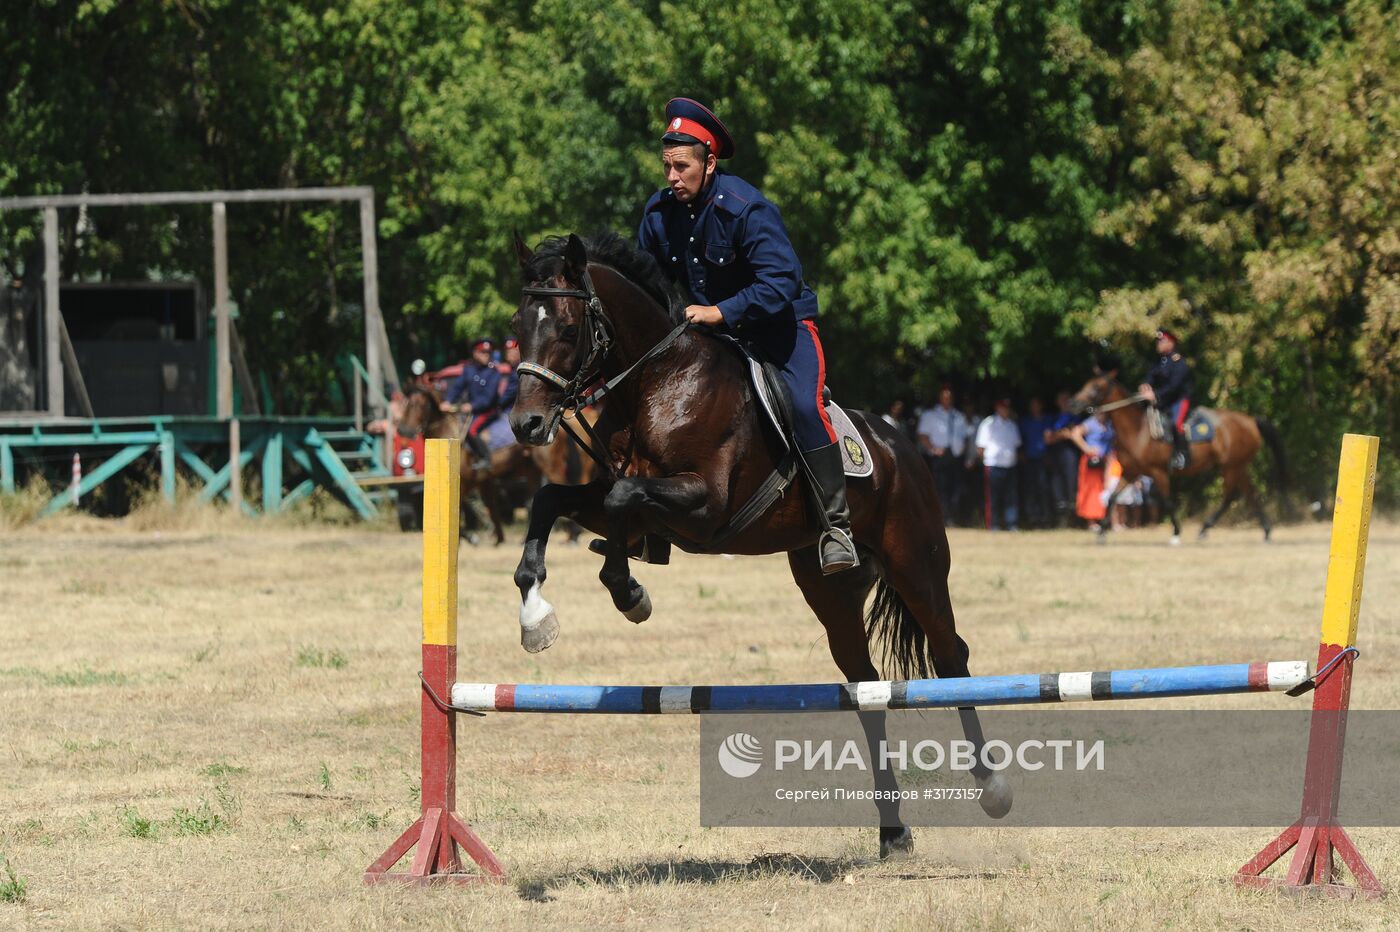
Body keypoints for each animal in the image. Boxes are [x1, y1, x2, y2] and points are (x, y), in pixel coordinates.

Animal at [509, 232, 1013, 856]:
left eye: (567, 327)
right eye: (517, 324)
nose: (527, 425)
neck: (657, 382)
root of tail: (904, 446)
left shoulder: (704, 507)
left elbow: (626, 498)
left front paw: (628, 591)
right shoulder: (612, 496)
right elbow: (551, 499)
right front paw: (536, 613)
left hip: (916, 566)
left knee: (951, 657)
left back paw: (992, 789)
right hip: (830, 589)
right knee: (865, 683)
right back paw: (893, 831)